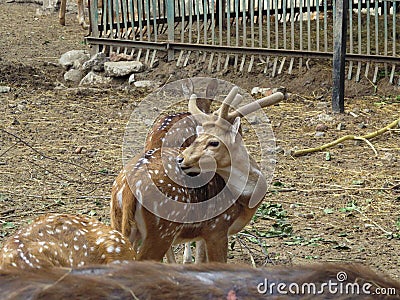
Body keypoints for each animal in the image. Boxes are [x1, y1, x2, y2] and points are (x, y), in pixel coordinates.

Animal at [109, 84, 284, 260]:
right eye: (198, 138)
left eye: (213, 142)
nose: (181, 158)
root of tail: (127, 191)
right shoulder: (217, 228)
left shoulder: (203, 234)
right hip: (162, 230)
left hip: (118, 221)